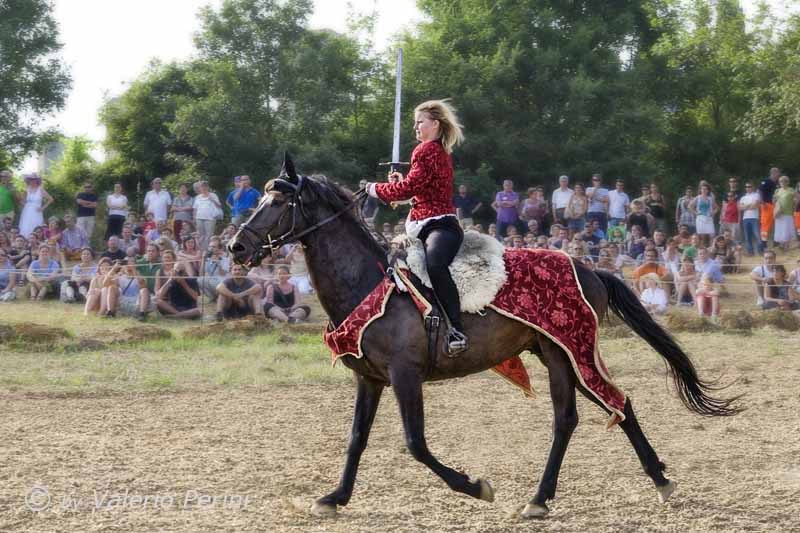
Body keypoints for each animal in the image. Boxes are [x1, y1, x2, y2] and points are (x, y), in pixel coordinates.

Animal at [227, 155, 736, 520]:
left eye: (277, 202)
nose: (236, 246)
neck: (370, 284)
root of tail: (589, 266)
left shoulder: (405, 376)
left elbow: (416, 444)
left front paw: (475, 487)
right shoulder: (369, 379)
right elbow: (356, 439)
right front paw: (334, 497)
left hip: (571, 351)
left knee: (601, 407)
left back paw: (597, 489)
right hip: (555, 354)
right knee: (588, 413)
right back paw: (587, 490)